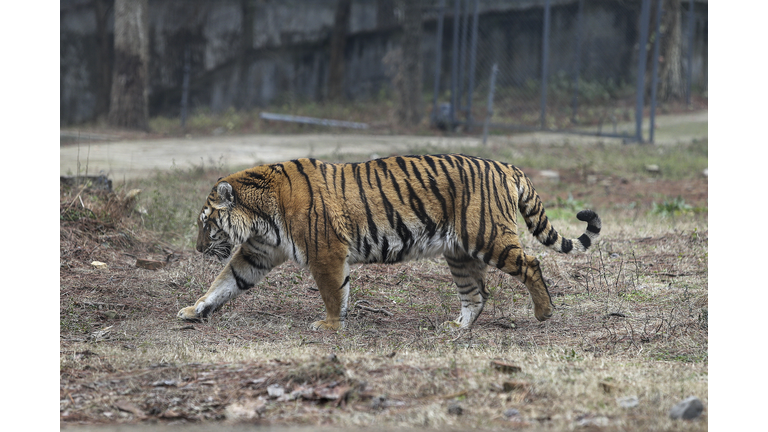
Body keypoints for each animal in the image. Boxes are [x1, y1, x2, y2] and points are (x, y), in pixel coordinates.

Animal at [178, 154, 600, 330]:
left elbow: (332, 293)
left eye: (206, 224)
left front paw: (329, 326)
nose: (197, 249)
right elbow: (225, 282)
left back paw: (544, 313)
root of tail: (506, 165)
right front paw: (193, 310)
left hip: (489, 237)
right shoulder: (257, 253)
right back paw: (457, 327)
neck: (261, 218)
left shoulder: (326, 252)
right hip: (459, 253)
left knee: (531, 263)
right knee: (476, 294)